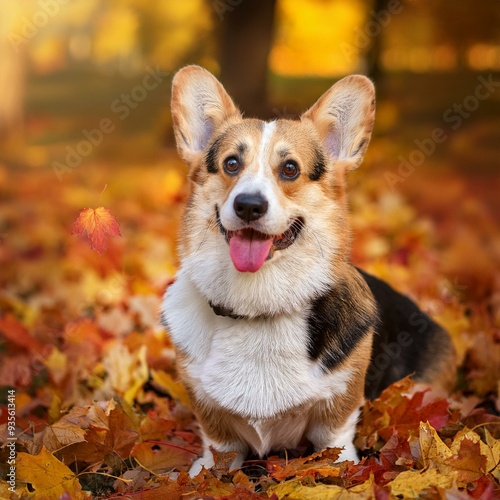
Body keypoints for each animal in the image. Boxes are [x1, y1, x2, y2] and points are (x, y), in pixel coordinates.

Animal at [161, 64, 458, 474]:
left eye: (290, 169)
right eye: (231, 164)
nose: (248, 205)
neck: (257, 307)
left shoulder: (340, 402)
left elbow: (335, 437)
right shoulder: (208, 410)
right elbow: (219, 447)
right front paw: (204, 472)